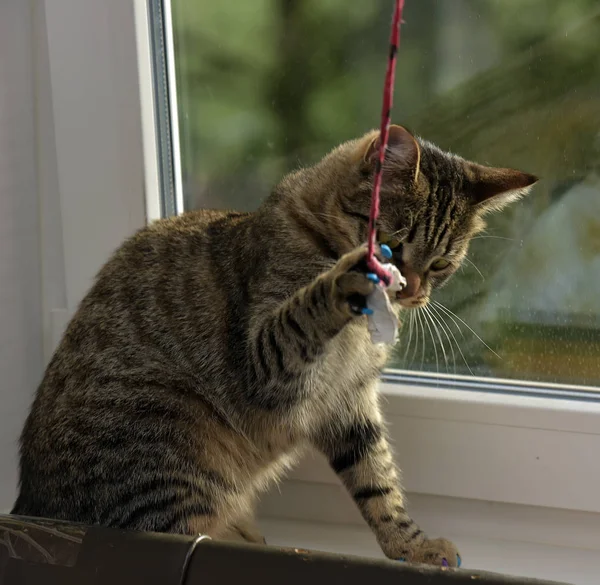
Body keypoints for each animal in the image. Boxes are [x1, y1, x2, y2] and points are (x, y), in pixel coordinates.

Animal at [12, 124, 536, 564]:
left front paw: (411, 546)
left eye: (442, 263)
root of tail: (27, 505)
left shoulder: (349, 401)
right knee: (175, 525)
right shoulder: (267, 364)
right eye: (392, 243)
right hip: (167, 428)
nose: (411, 291)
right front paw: (342, 278)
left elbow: (378, 482)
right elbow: (306, 309)